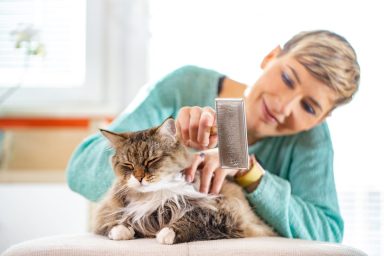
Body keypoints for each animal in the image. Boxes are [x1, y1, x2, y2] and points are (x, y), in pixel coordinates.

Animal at [93, 118, 276, 244]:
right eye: (128, 165)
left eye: (151, 161)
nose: (139, 178)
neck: (155, 195)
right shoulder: (109, 211)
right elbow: (114, 221)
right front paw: (121, 230)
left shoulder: (224, 212)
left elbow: (194, 218)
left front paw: (167, 233)